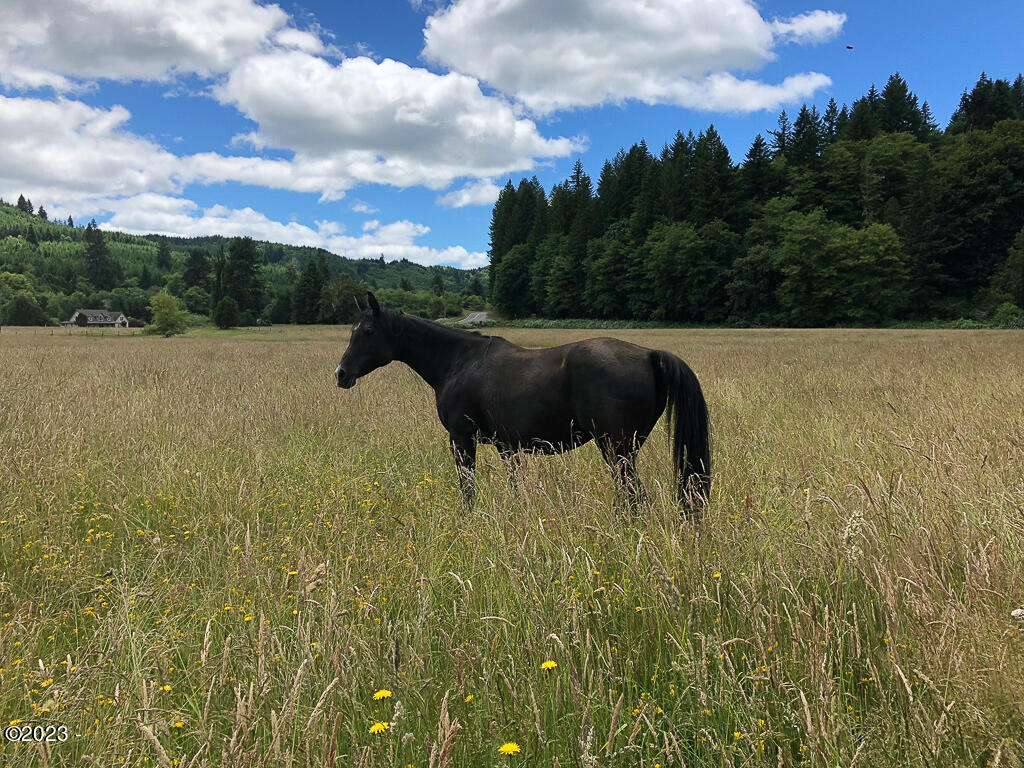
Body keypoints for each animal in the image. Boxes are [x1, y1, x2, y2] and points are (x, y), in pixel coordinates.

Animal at [335, 293, 711, 518]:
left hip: (616, 449)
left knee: (634, 497)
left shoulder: (462, 438)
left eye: (366, 331)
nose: (340, 374)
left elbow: (468, 487)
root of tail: (649, 355)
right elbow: (516, 486)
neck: (458, 361)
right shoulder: (508, 446)